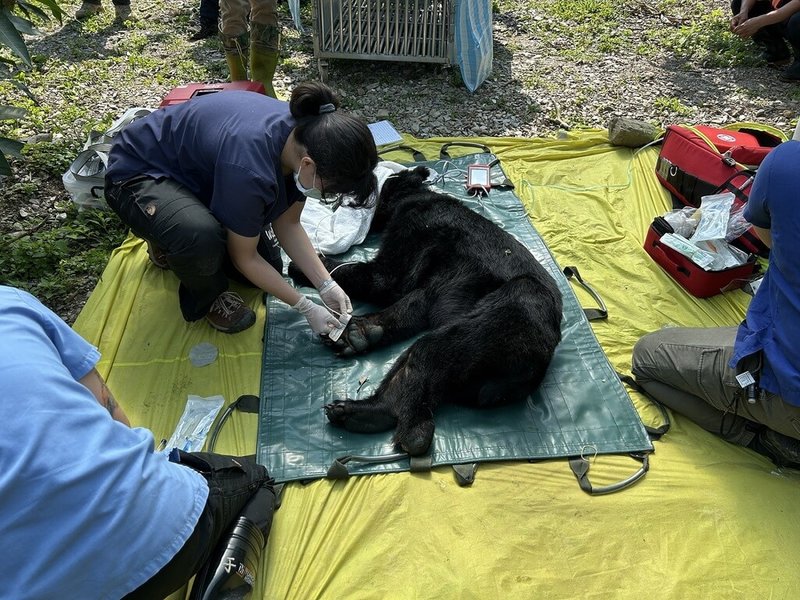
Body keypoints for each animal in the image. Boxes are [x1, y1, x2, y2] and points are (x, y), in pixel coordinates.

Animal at [292, 164, 564, 454]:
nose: (337, 200)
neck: (413, 195)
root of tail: (535, 366)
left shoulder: (411, 233)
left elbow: (380, 278)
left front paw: (307, 266)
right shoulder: (436, 282)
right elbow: (414, 303)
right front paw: (362, 331)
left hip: (506, 318)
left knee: (427, 356)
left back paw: (375, 416)